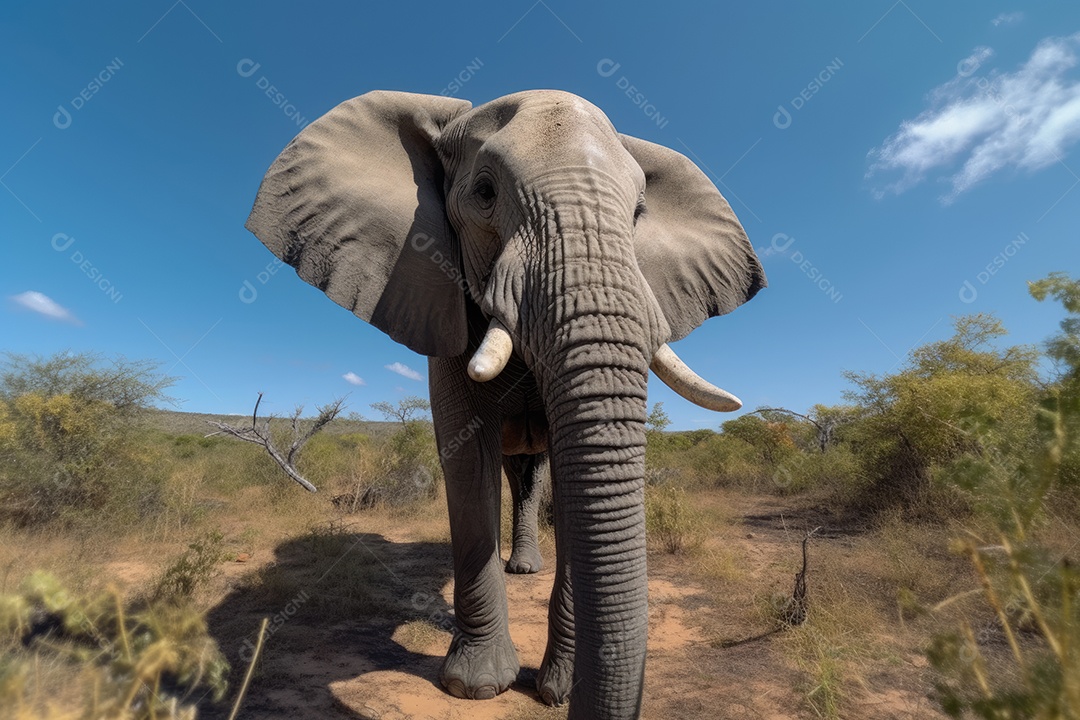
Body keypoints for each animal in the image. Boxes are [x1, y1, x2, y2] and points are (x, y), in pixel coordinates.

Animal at [246, 89, 765, 720]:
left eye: (640, 212)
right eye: (485, 193)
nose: (576, 700)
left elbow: (570, 477)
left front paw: (554, 688)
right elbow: (467, 459)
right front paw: (474, 686)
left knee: (531, 476)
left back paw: (525, 568)